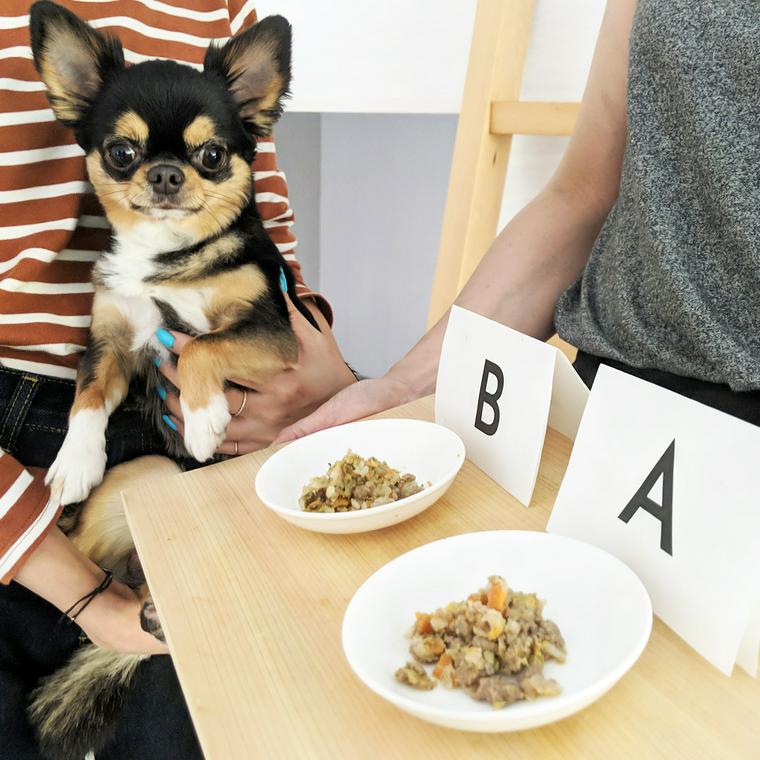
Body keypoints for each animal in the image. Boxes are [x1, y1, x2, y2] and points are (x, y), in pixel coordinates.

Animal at [26, 2, 314, 756]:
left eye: (211, 155)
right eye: (121, 153)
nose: (162, 174)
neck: (170, 260)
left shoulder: (272, 332)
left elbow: (206, 346)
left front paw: (208, 416)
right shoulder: (114, 343)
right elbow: (87, 400)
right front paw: (74, 461)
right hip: (143, 479)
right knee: (88, 555)